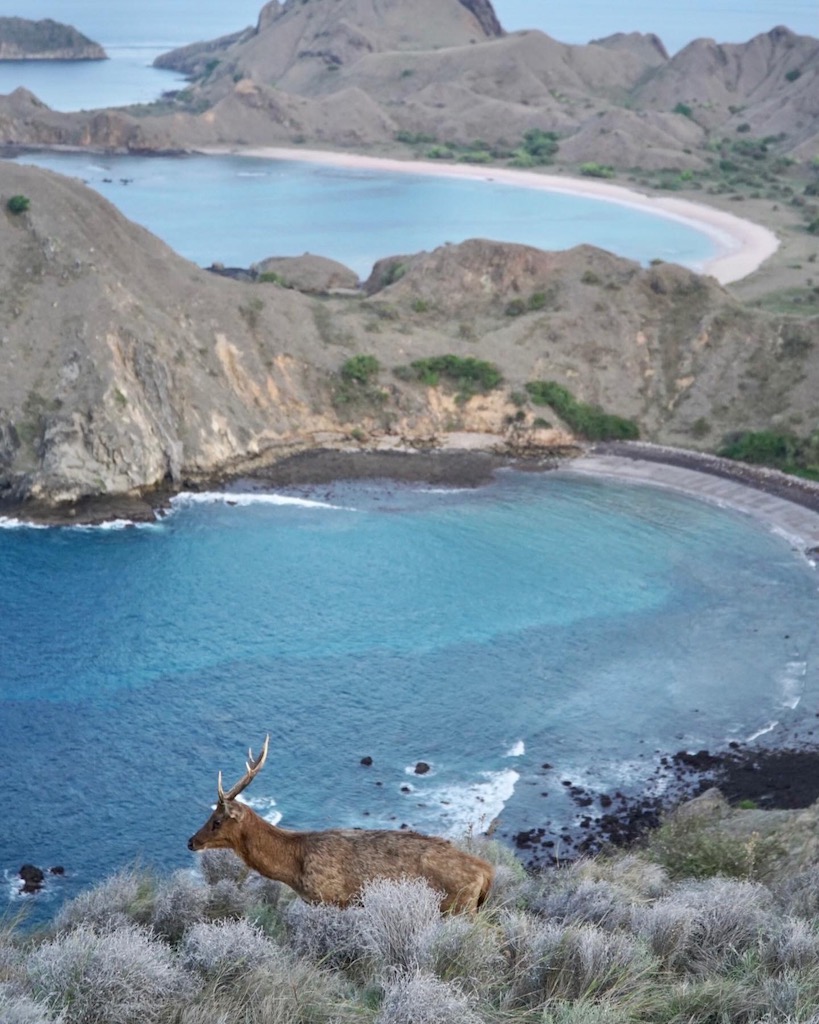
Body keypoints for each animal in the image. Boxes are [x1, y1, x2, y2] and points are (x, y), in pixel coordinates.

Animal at [187, 737, 493, 913]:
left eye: (216, 821)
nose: (191, 841)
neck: (294, 867)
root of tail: (486, 871)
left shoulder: (332, 898)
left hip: (458, 907)